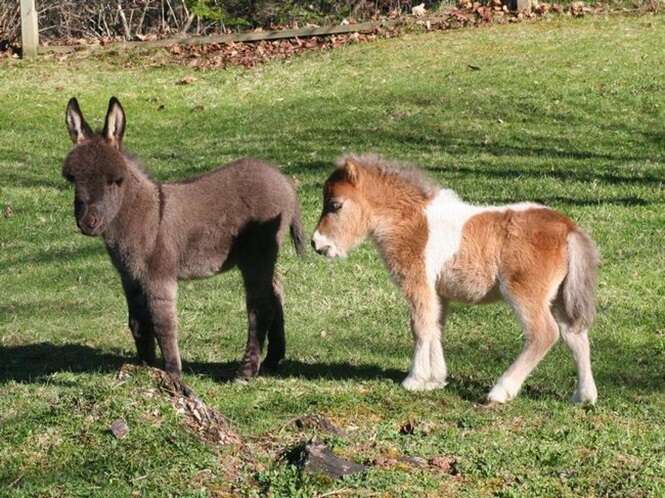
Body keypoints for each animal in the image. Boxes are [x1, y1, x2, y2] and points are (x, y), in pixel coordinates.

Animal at [314, 155, 600, 404]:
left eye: (335, 205)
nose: (317, 244)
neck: (412, 222)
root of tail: (567, 227)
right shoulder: (439, 292)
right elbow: (435, 326)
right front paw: (435, 380)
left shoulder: (418, 283)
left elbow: (419, 326)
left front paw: (415, 380)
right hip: (559, 296)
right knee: (575, 335)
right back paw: (583, 397)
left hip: (524, 293)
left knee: (544, 334)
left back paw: (500, 391)